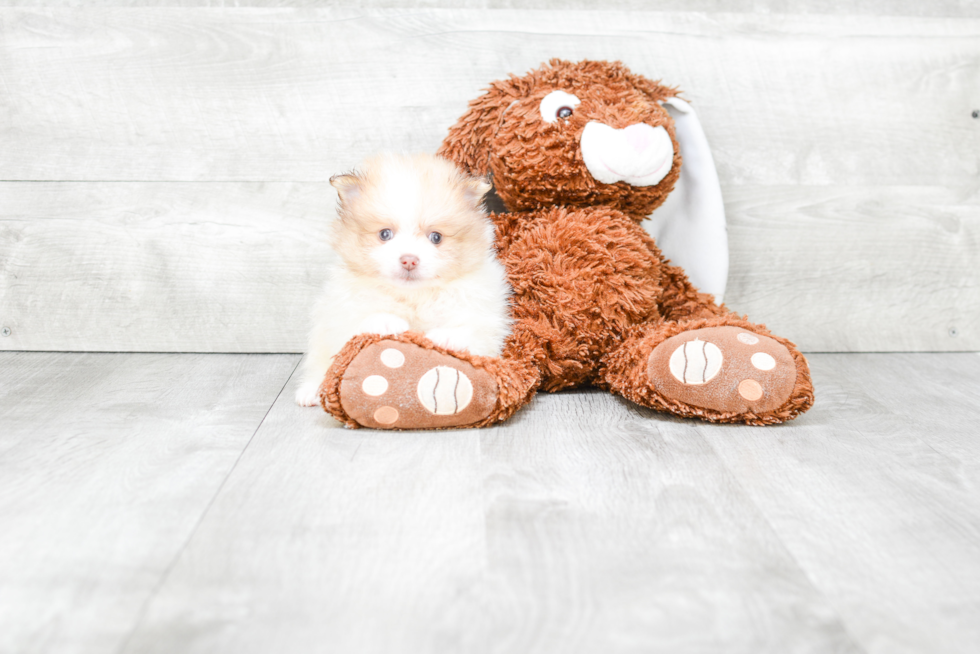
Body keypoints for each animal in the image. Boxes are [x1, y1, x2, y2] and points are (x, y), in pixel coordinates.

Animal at [294, 155, 512, 410]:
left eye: (436, 237)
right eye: (384, 234)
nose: (409, 259)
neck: (414, 296)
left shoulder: (485, 312)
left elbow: (474, 328)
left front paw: (447, 337)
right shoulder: (342, 310)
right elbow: (361, 319)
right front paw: (387, 322)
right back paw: (310, 391)